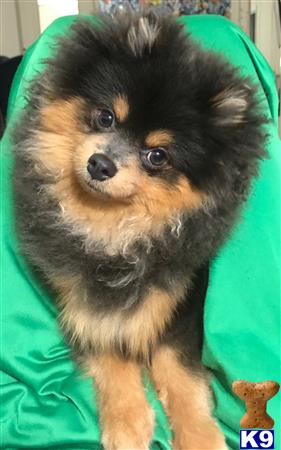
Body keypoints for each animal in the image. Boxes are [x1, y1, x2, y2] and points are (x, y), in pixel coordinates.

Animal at [13, 12, 266, 450]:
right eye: (106, 117)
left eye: (157, 156)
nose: (100, 164)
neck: (113, 232)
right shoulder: (82, 297)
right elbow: (110, 349)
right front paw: (127, 420)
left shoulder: (181, 300)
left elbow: (178, 368)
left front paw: (199, 434)